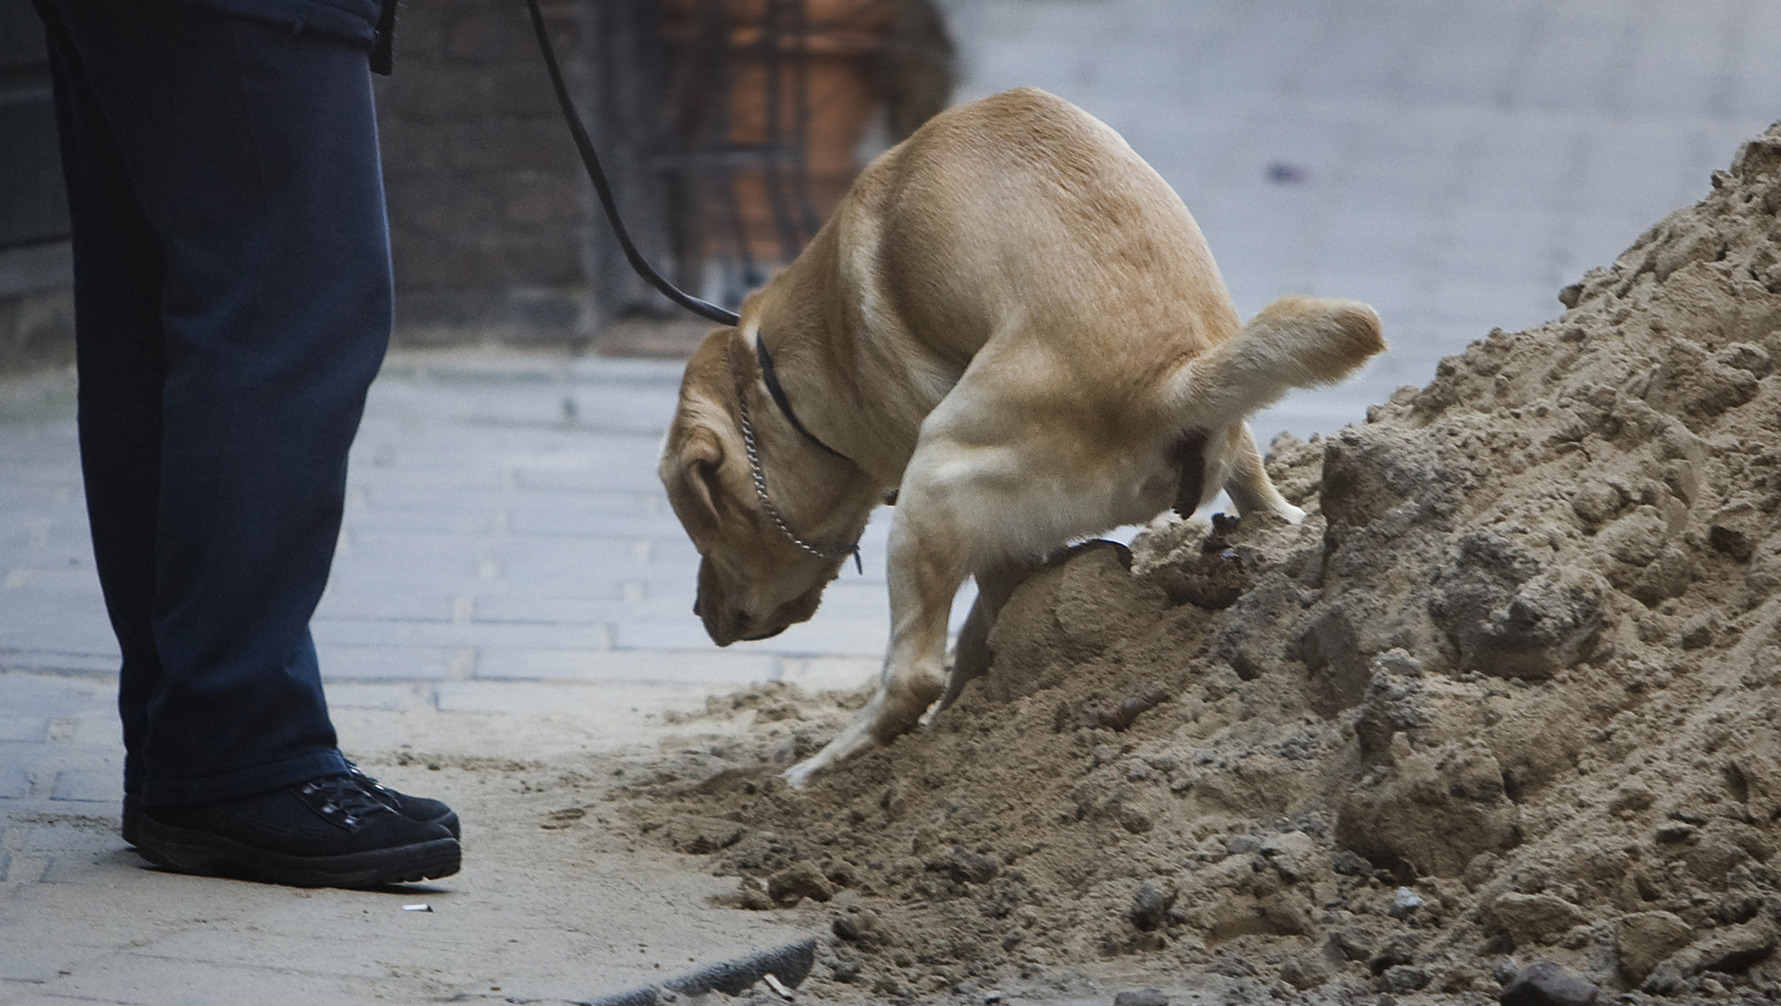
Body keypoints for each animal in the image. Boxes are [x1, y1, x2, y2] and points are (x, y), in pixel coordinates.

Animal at [662, 86, 1382, 783]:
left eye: (704, 527)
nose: (698, 613)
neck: (793, 364)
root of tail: (1171, 377)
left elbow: (976, 631)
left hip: (933, 484)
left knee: (911, 677)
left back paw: (823, 766)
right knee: (1268, 499)